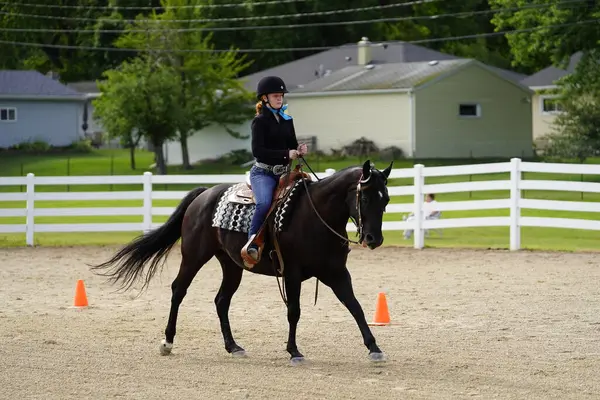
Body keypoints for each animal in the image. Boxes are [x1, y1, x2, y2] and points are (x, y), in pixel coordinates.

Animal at [90, 159, 394, 362]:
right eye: (365, 197)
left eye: (386, 199)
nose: (374, 238)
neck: (315, 214)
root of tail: (203, 194)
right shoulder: (293, 272)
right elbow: (294, 311)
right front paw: (294, 351)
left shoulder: (336, 272)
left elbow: (355, 306)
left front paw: (374, 347)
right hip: (193, 256)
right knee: (179, 290)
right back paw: (167, 341)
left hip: (231, 264)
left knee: (221, 300)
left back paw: (232, 346)